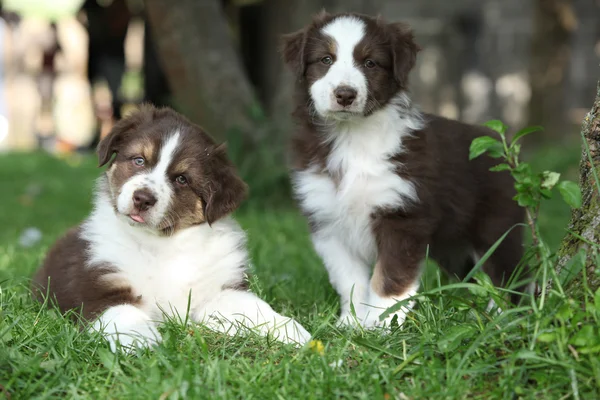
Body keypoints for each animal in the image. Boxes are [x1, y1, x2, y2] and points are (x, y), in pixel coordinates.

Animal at [31, 104, 314, 352]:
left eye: (182, 179)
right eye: (138, 160)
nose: (143, 199)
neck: (162, 244)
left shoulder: (218, 292)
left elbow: (255, 308)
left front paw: (292, 331)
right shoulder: (100, 288)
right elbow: (125, 314)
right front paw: (143, 342)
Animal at [278, 12, 528, 330]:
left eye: (370, 63)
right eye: (325, 59)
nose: (345, 94)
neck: (352, 138)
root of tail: (501, 149)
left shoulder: (402, 217)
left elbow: (389, 278)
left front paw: (381, 326)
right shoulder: (329, 222)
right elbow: (350, 281)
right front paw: (352, 324)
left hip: (496, 229)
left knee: (511, 276)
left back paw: (507, 316)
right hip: (452, 247)